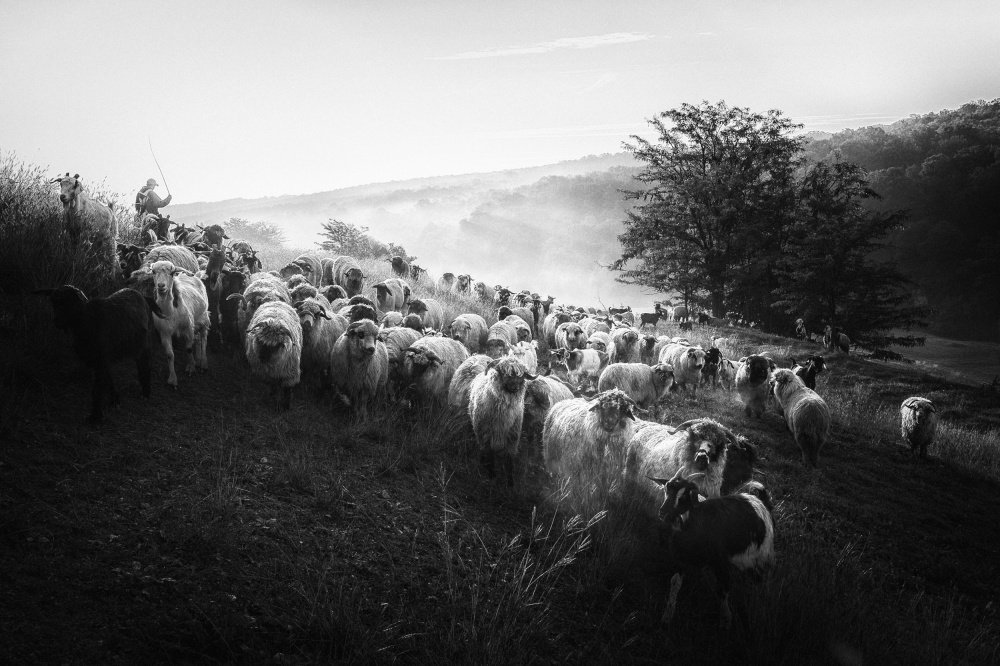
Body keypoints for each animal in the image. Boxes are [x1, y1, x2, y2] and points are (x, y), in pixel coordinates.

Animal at [33, 284, 163, 420]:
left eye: (70, 301)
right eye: (53, 302)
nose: (58, 322)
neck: (86, 320)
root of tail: (142, 295)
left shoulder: (101, 357)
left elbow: (97, 387)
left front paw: (95, 416)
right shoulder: (98, 358)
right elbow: (108, 379)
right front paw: (115, 400)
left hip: (144, 344)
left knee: (144, 366)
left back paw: (146, 393)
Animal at [648, 466, 772, 628]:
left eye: (684, 496)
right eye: (666, 490)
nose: (663, 512)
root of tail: (759, 500)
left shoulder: (721, 562)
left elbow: (722, 590)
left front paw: (726, 620)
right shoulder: (682, 555)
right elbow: (675, 582)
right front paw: (667, 617)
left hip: (761, 557)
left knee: (761, 581)